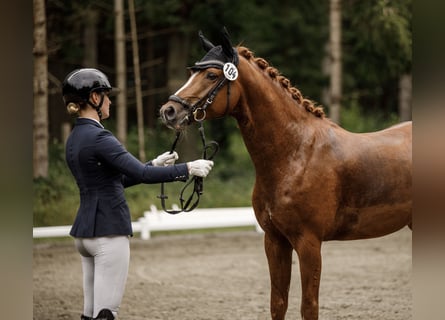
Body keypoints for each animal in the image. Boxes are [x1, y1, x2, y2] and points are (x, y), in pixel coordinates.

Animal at [159, 28, 410, 318]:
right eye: (192, 72)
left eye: (211, 75)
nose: (169, 111)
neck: (295, 154)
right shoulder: (275, 241)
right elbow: (278, 302)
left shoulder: (309, 243)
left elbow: (308, 306)